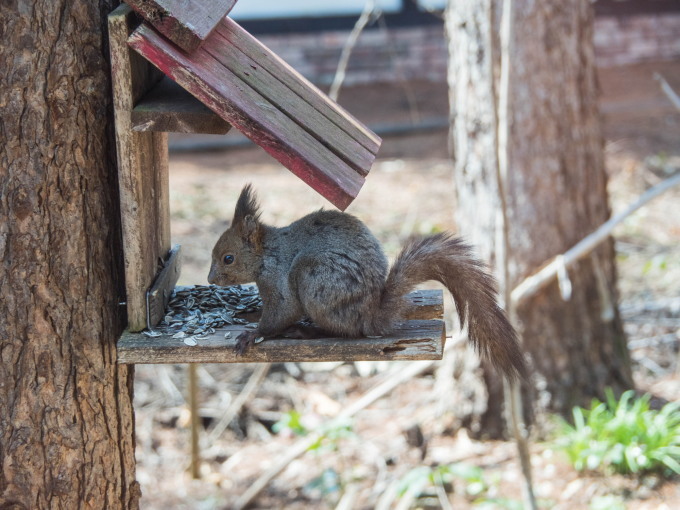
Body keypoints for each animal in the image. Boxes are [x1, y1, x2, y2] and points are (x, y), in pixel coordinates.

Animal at [207, 185, 524, 380]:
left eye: (228, 258)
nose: (210, 279)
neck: (267, 255)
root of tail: (370, 315)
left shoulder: (279, 283)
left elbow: (280, 314)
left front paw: (253, 334)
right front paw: (249, 314)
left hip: (314, 277)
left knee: (342, 332)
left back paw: (304, 331)